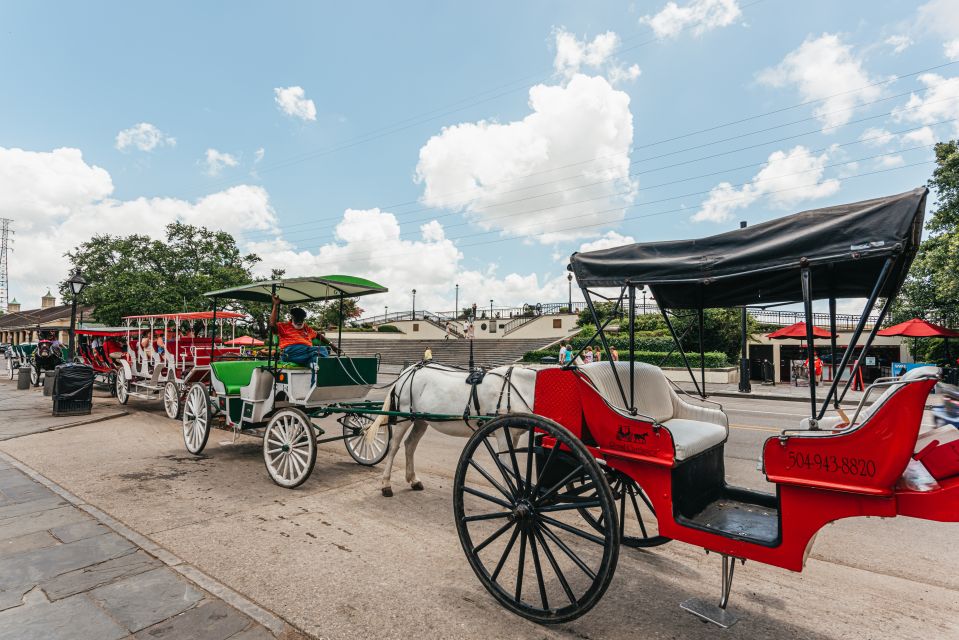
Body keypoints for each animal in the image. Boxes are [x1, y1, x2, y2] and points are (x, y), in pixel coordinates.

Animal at [366, 364, 536, 496]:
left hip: (421, 420)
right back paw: (386, 483)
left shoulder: (513, 435)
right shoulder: (502, 434)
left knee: (410, 444)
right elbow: (506, 466)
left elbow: (512, 467)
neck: (517, 387)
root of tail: (408, 370)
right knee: (394, 446)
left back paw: (413, 480)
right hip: (404, 416)